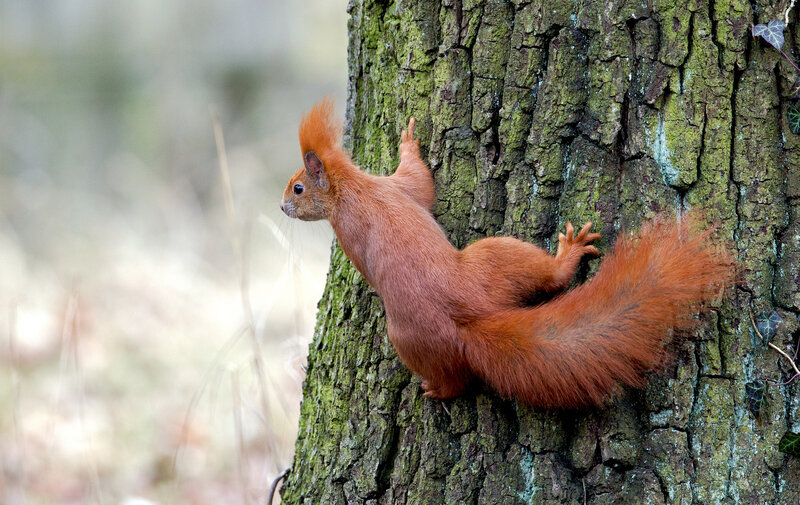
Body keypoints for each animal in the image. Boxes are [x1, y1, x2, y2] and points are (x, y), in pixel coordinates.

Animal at [280, 99, 736, 409]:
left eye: (297, 187)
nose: (282, 207)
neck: (349, 191)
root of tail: (473, 318)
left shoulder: (387, 190)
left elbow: (418, 181)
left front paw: (407, 141)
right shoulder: (389, 195)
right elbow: (419, 184)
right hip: (487, 265)